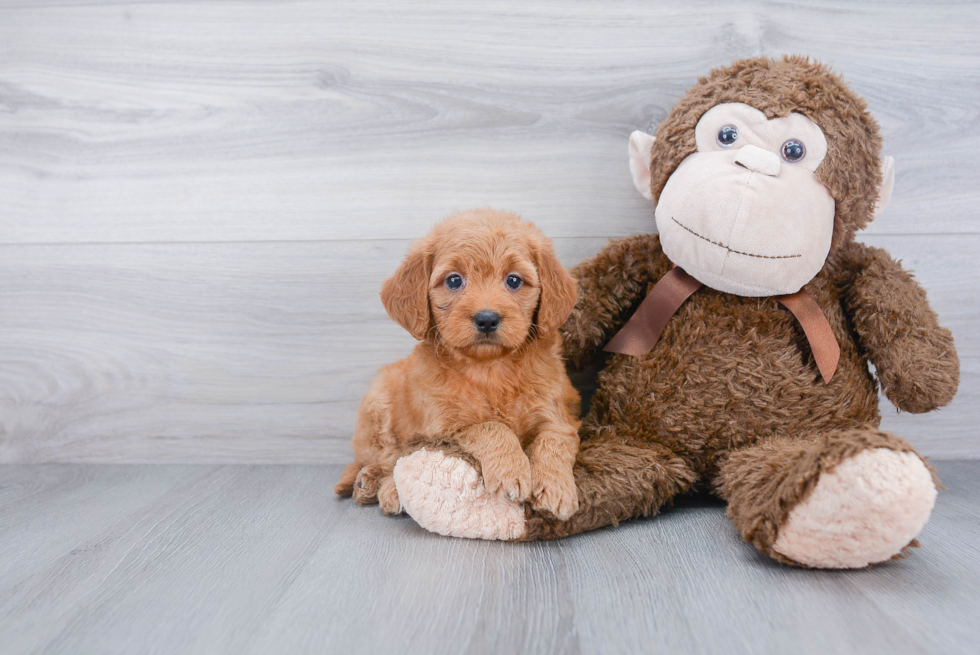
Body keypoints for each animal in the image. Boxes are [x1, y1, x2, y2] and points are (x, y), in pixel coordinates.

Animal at [336, 208, 580, 520]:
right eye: (454, 281)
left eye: (514, 281)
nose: (487, 318)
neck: (490, 368)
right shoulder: (443, 428)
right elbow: (490, 427)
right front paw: (511, 469)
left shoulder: (558, 416)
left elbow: (554, 441)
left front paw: (556, 489)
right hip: (379, 407)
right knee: (387, 458)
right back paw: (377, 485)